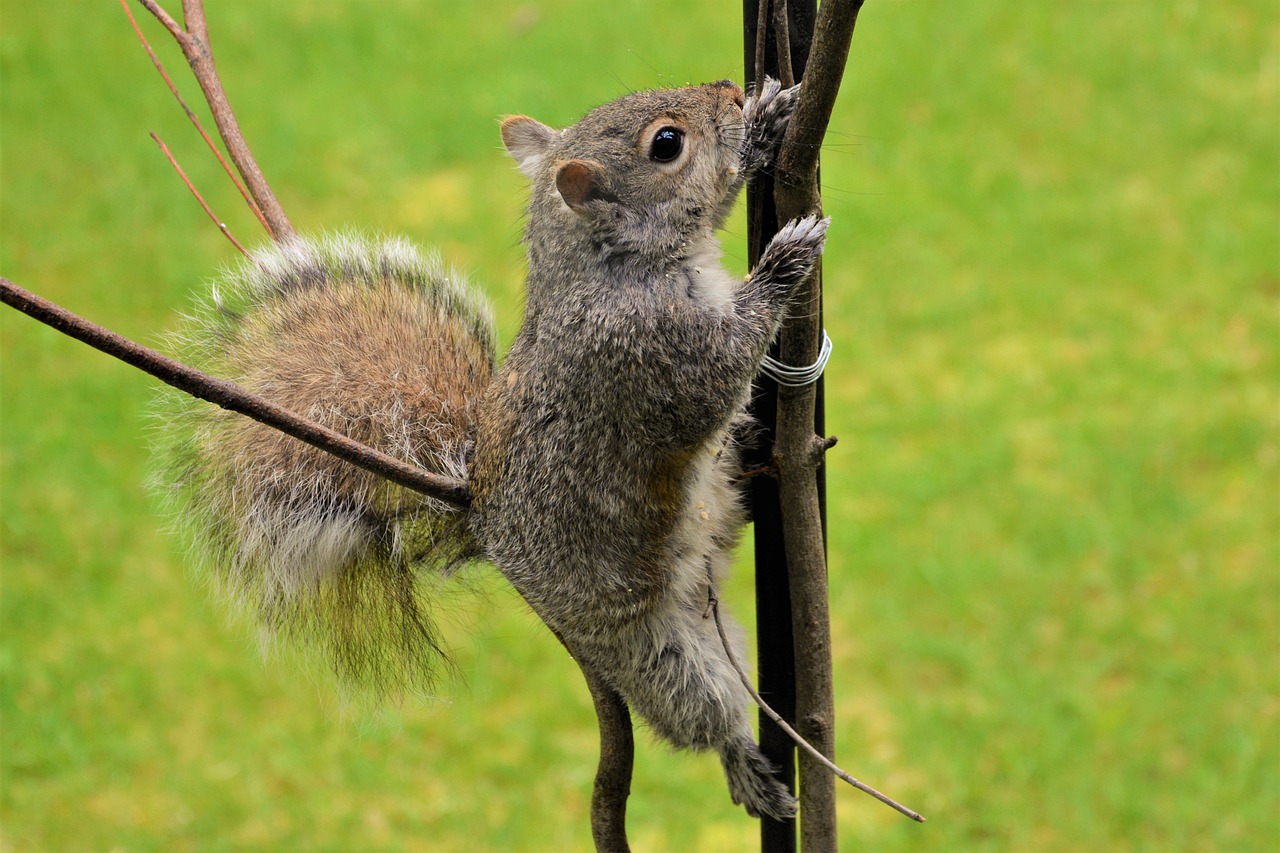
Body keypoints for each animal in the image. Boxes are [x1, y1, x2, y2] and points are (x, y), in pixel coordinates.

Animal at [154, 78, 829, 819]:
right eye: (667, 144)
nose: (730, 91)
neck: (611, 266)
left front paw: (764, 125)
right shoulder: (648, 351)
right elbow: (720, 373)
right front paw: (785, 261)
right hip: (651, 646)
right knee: (704, 713)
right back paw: (744, 765)